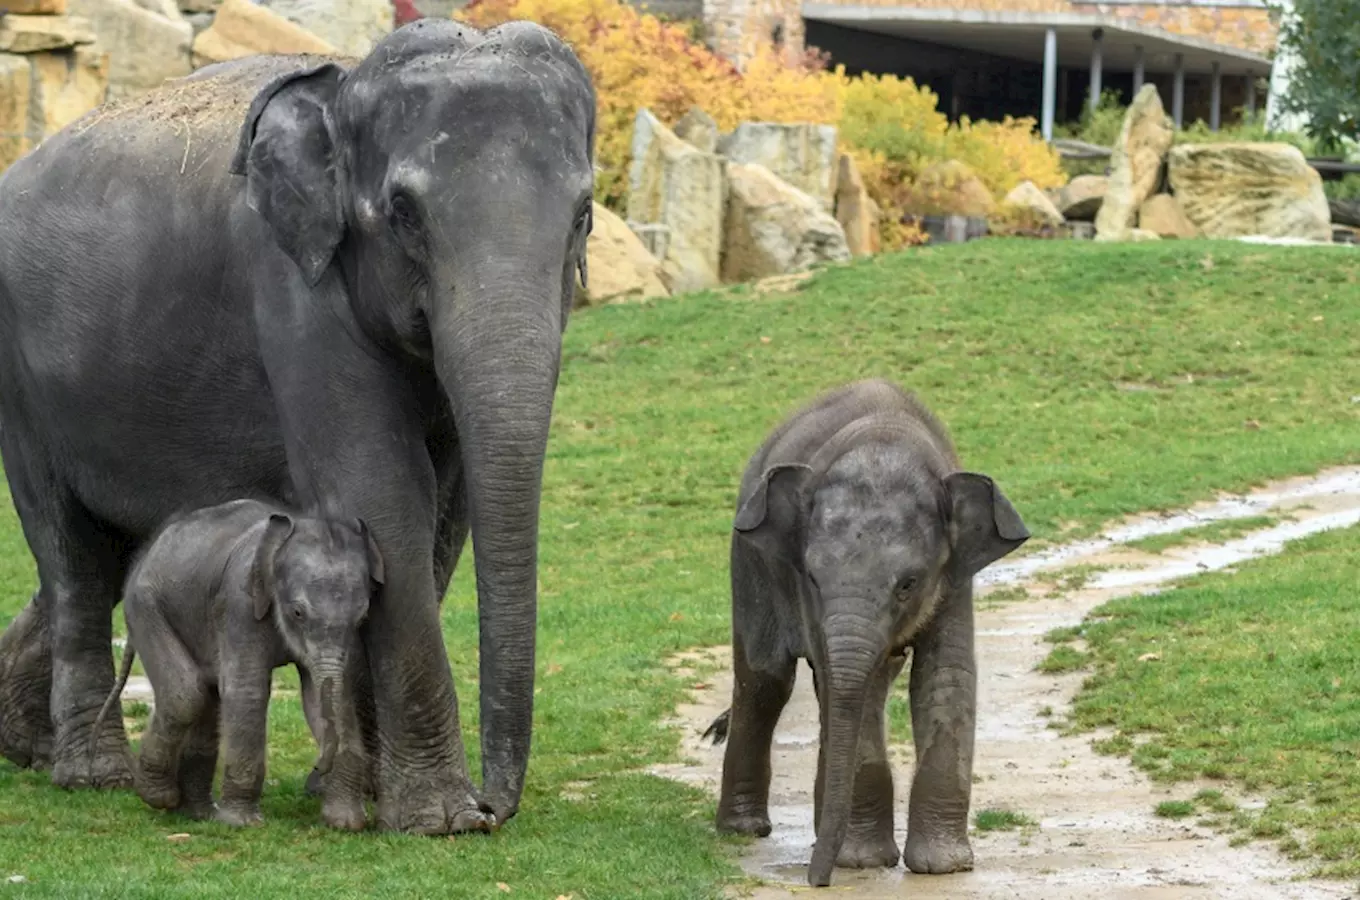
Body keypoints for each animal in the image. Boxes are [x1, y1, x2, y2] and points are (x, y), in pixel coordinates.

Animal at [95, 500, 383, 832]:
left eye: (362, 616)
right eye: (297, 613)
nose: (318, 764)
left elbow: (328, 695)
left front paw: (346, 823)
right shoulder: (239, 601)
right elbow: (248, 689)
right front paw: (242, 823)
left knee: (206, 697)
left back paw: (198, 814)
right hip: (145, 608)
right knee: (186, 693)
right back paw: (161, 796)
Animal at [712, 377, 1028, 886]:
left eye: (908, 584)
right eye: (813, 578)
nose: (816, 882)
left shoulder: (955, 577)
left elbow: (945, 677)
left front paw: (943, 868)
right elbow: (841, 686)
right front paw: (862, 862)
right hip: (747, 558)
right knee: (766, 682)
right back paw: (747, 830)